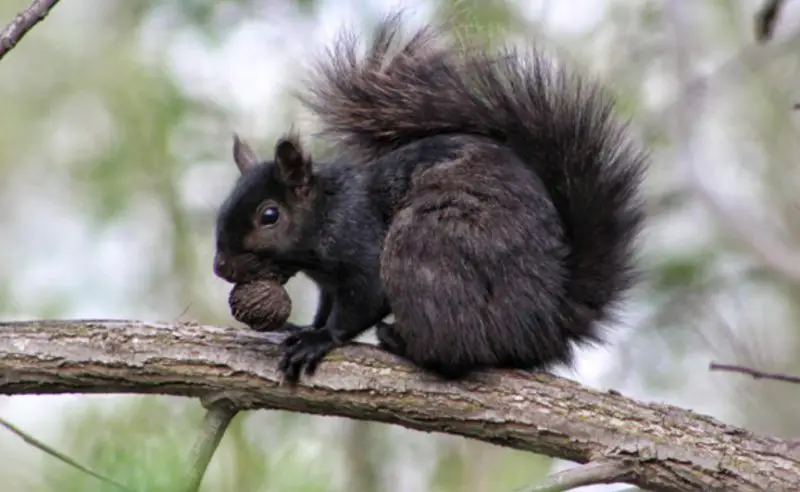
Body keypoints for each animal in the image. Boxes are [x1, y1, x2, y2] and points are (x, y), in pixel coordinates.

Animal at [213, 13, 648, 384]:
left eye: (269, 215)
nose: (221, 267)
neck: (325, 211)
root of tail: (545, 328)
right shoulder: (327, 284)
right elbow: (325, 307)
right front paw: (308, 327)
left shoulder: (360, 242)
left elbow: (362, 301)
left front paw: (320, 339)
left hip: (424, 246)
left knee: (458, 352)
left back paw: (401, 342)